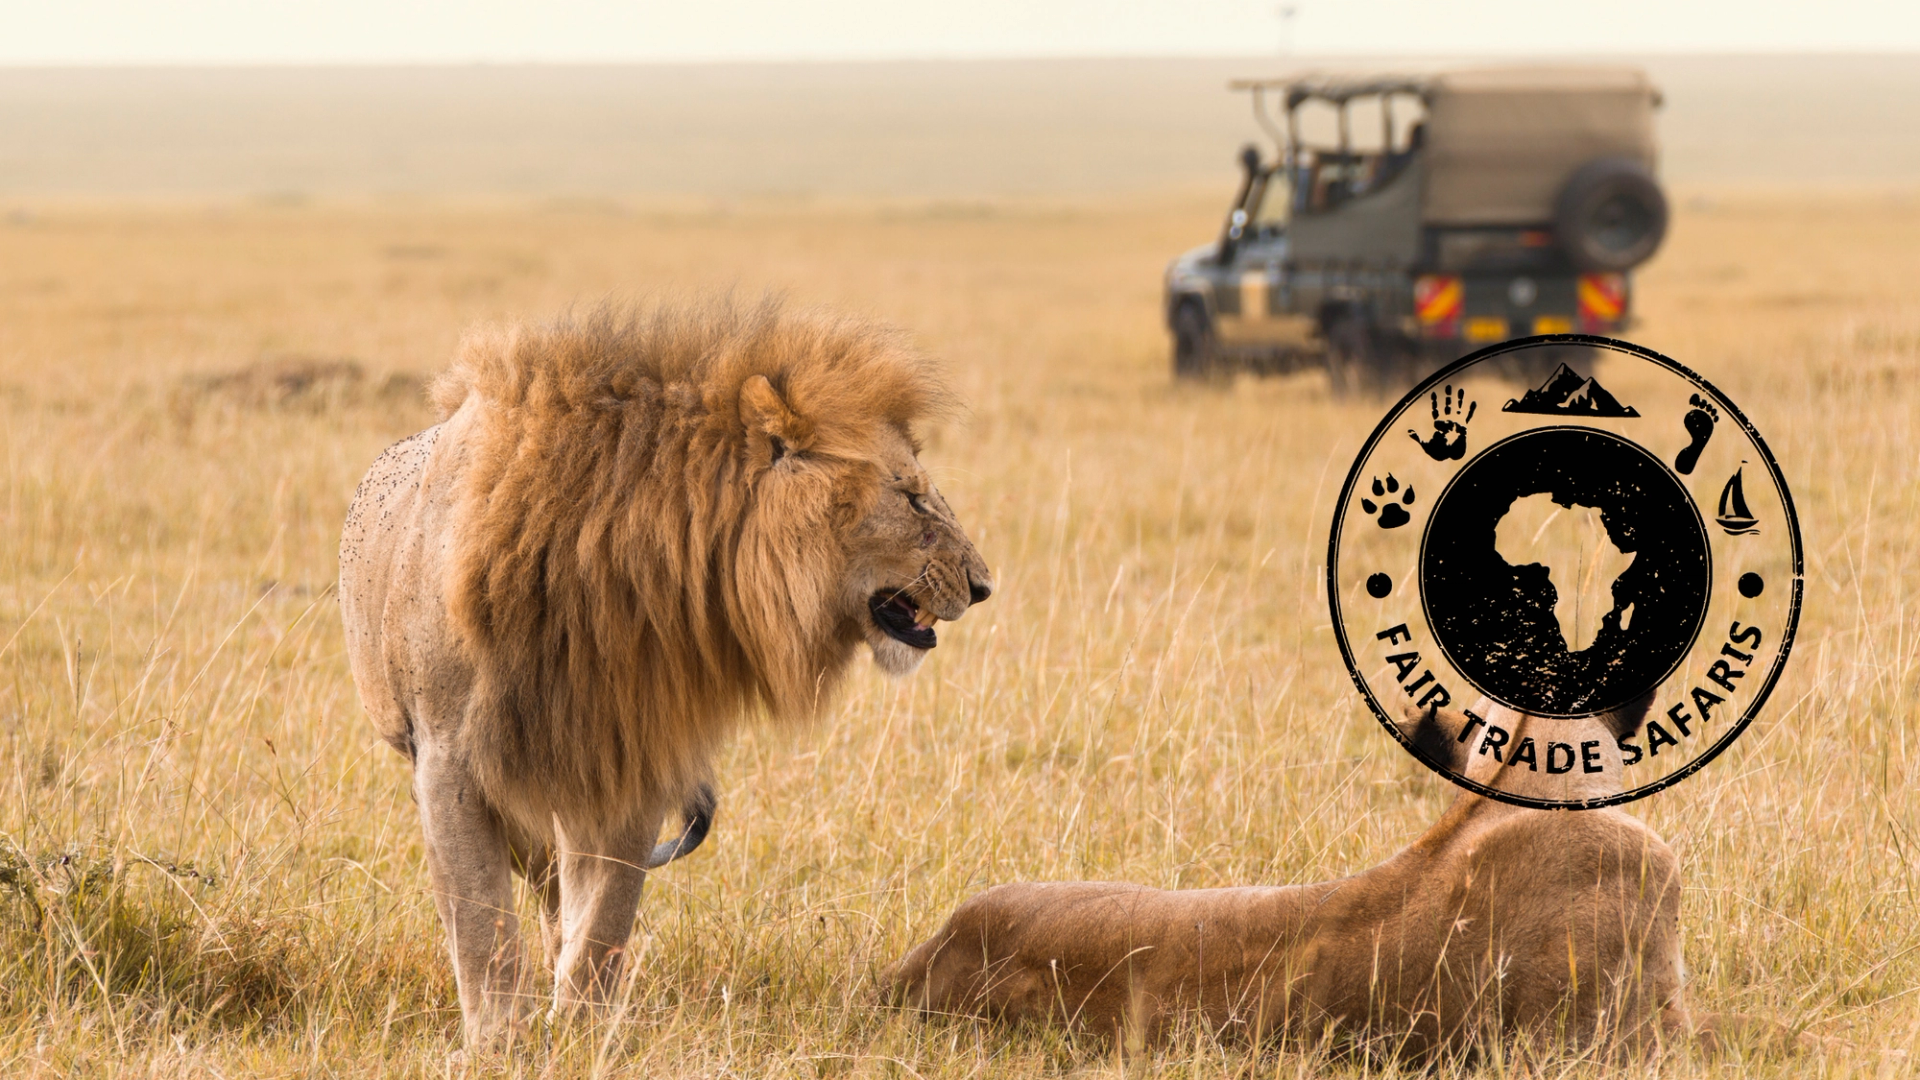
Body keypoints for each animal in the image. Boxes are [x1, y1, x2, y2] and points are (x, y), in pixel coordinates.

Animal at [339, 299, 992, 1047]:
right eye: (911, 499)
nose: (983, 586)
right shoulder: (447, 756)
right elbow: (480, 920)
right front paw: (500, 1042)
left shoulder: (631, 754)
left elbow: (606, 916)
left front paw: (582, 1033)